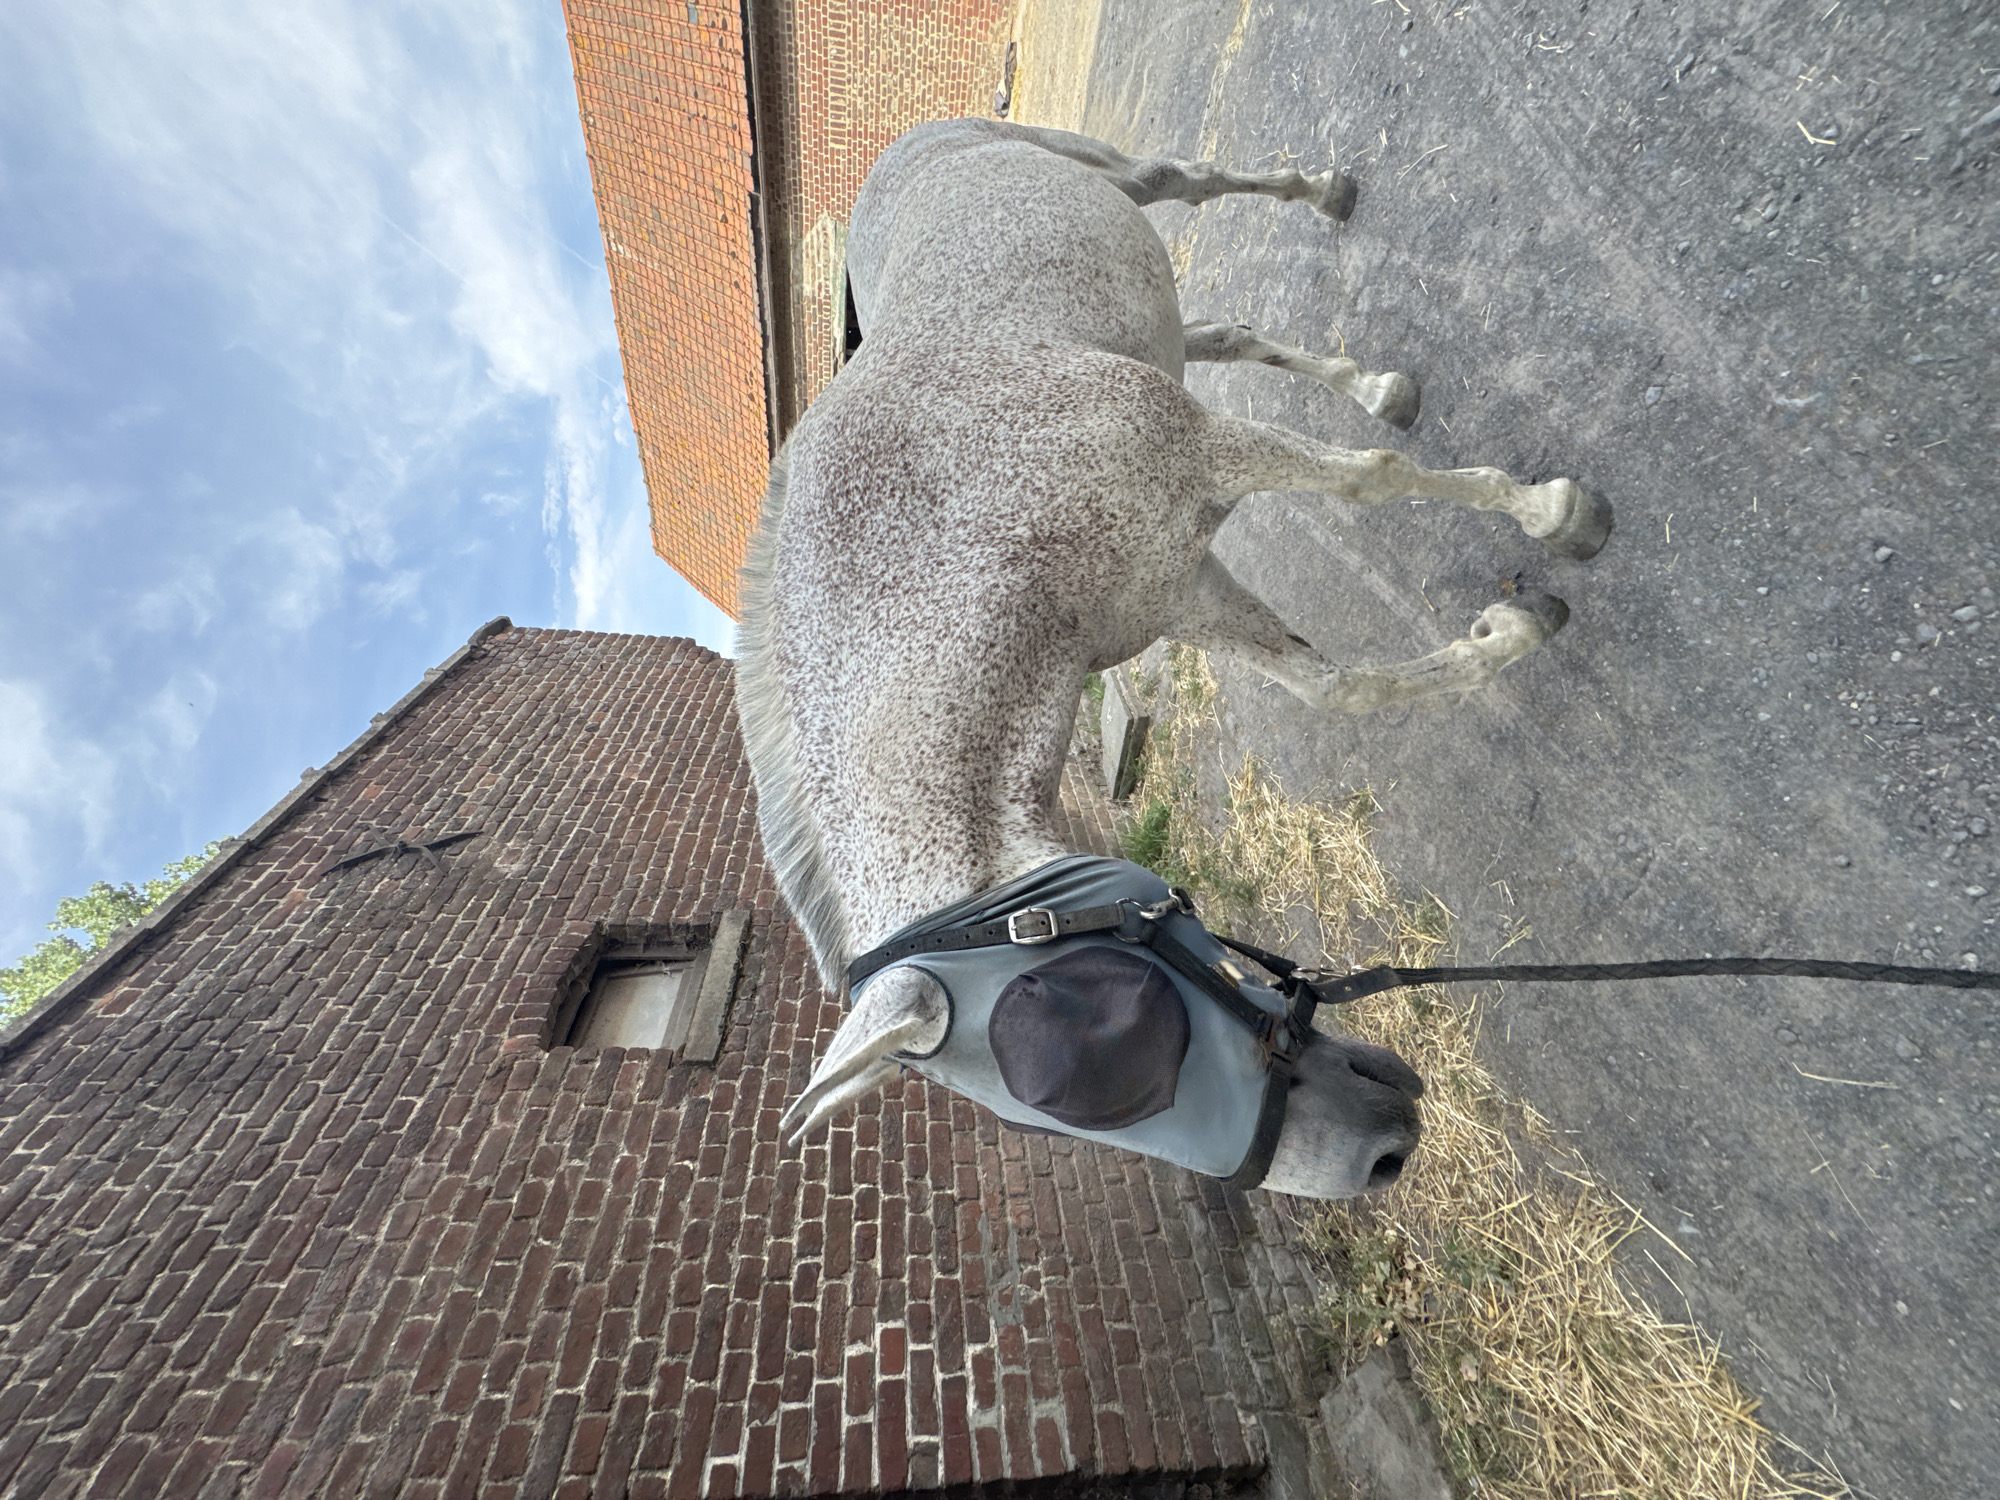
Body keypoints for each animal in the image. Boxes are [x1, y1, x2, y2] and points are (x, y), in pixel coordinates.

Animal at [735, 119, 1611, 1199]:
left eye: (1104, 1029)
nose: (1379, 1158)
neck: (949, 522)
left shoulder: (1201, 452)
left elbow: (1368, 481)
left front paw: (1556, 516)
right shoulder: (1179, 585)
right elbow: (1328, 684)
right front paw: (1509, 633)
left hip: (1115, 176)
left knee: (1190, 183)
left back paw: (1330, 203)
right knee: (1224, 334)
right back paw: (1379, 388)